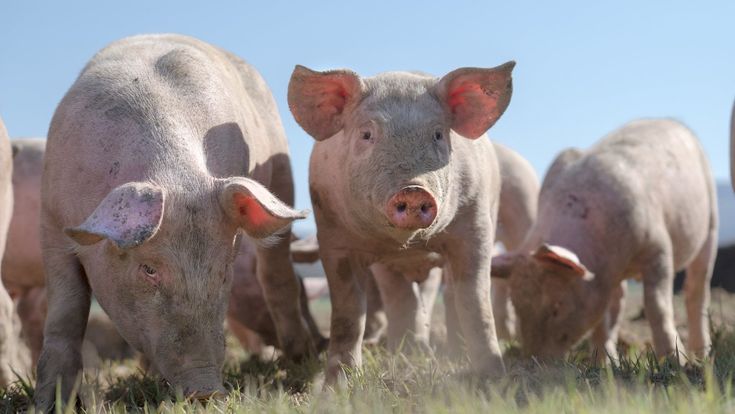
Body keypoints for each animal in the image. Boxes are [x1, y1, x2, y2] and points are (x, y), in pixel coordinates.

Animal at [35, 34, 311, 410]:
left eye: (223, 271)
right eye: (148, 269)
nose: (206, 389)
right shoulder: (51, 219)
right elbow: (67, 309)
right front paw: (49, 404)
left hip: (281, 169)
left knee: (276, 271)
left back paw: (301, 356)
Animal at [288, 62, 515, 382]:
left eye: (438, 134)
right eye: (367, 134)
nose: (413, 189)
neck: (408, 243)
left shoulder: (476, 225)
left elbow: (474, 299)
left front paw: (494, 377)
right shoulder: (333, 237)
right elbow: (348, 311)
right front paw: (338, 385)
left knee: (446, 293)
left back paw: (448, 353)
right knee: (401, 295)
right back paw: (408, 353)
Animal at [492, 119, 717, 362]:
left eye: (557, 306)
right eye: (518, 306)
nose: (535, 361)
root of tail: (673, 121)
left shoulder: (658, 247)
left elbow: (657, 304)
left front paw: (675, 362)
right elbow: (602, 318)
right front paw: (604, 365)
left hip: (710, 222)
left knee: (697, 289)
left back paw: (701, 356)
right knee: (619, 302)